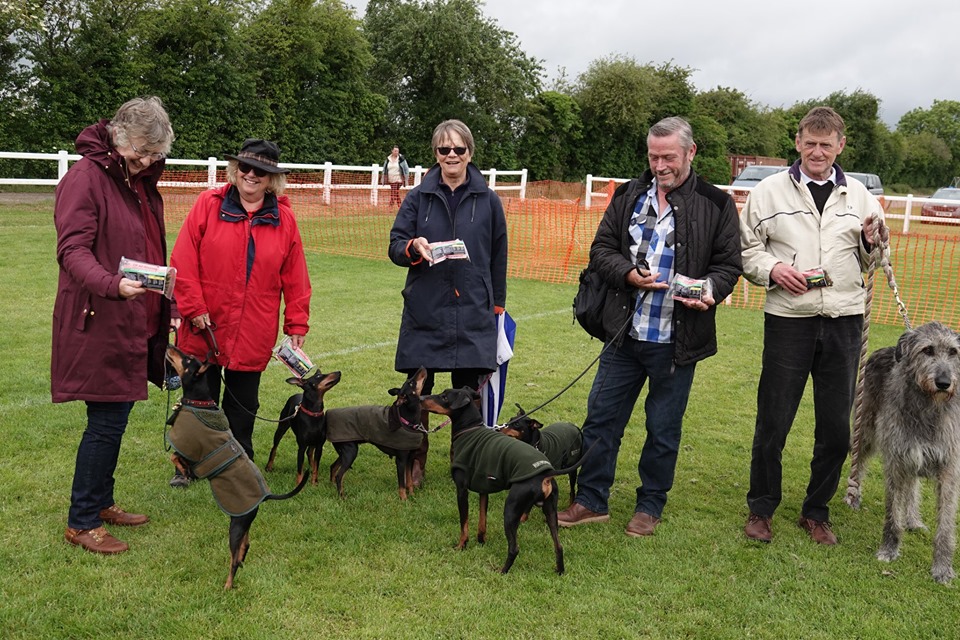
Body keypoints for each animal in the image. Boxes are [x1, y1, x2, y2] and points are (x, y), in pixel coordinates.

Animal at [164, 344, 308, 592]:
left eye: (188, 359)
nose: (170, 345)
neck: (199, 402)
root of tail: (265, 496)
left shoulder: (188, 447)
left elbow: (175, 456)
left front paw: (183, 472)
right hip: (243, 522)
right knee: (246, 544)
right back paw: (241, 561)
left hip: (236, 525)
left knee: (233, 558)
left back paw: (227, 586)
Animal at [324, 364, 426, 500]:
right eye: (411, 383)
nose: (422, 367)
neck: (407, 418)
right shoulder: (400, 460)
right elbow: (402, 484)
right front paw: (404, 499)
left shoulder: (409, 458)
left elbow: (409, 481)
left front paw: (412, 496)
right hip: (350, 452)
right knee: (339, 475)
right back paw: (342, 497)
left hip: (345, 452)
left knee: (333, 467)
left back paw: (332, 487)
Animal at [424, 384, 588, 576]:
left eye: (444, 397)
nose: (421, 398)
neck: (469, 431)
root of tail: (545, 474)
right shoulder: (484, 489)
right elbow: (482, 521)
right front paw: (481, 541)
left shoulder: (461, 490)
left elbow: (464, 524)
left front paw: (461, 546)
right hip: (550, 512)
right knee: (559, 545)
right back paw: (559, 571)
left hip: (511, 510)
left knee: (514, 548)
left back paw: (501, 571)